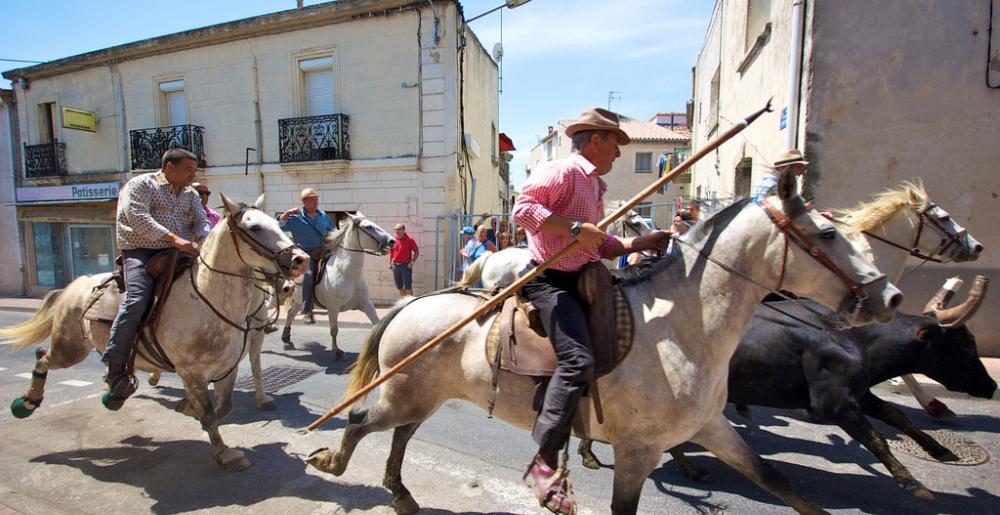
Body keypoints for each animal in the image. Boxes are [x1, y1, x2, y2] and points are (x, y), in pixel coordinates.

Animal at [0, 195, 308, 472]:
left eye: (277, 223)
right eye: (254, 227)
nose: (300, 260)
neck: (209, 299)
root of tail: (76, 284)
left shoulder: (227, 367)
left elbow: (223, 408)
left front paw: (190, 409)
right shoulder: (191, 372)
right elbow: (210, 414)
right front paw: (224, 454)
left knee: (107, 361)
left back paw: (115, 393)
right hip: (70, 347)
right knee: (43, 356)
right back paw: (26, 403)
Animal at [308, 173, 904, 515]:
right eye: (828, 235)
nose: (890, 296)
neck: (685, 328)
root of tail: (412, 304)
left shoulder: (711, 428)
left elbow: (776, 479)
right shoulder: (639, 450)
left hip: (423, 394)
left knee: (400, 434)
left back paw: (400, 492)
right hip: (405, 392)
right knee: (361, 421)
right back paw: (336, 463)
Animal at [580, 300, 992, 502]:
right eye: (961, 345)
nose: (990, 387)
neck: (856, 340)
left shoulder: (859, 394)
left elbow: (897, 417)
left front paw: (940, 450)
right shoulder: (833, 403)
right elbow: (875, 437)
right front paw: (911, 481)